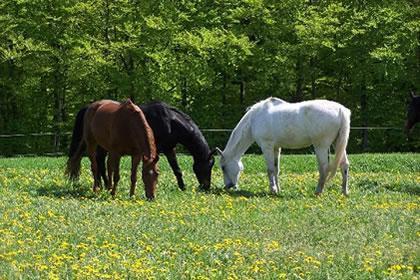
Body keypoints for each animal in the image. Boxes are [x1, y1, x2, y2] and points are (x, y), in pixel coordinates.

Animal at [68, 101, 217, 191]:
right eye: (208, 166)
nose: (206, 187)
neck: (170, 121)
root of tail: (89, 108)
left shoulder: (169, 149)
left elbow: (177, 169)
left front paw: (182, 187)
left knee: (99, 161)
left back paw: (103, 184)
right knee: (98, 161)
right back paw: (102, 185)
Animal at [217, 97, 352, 196]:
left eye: (223, 167)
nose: (228, 186)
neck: (254, 119)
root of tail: (340, 110)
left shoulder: (267, 146)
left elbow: (270, 169)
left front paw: (273, 190)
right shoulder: (276, 148)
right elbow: (276, 169)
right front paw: (278, 189)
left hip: (321, 146)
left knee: (324, 168)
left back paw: (318, 191)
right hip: (337, 143)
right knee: (344, 165)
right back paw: (344, 192)